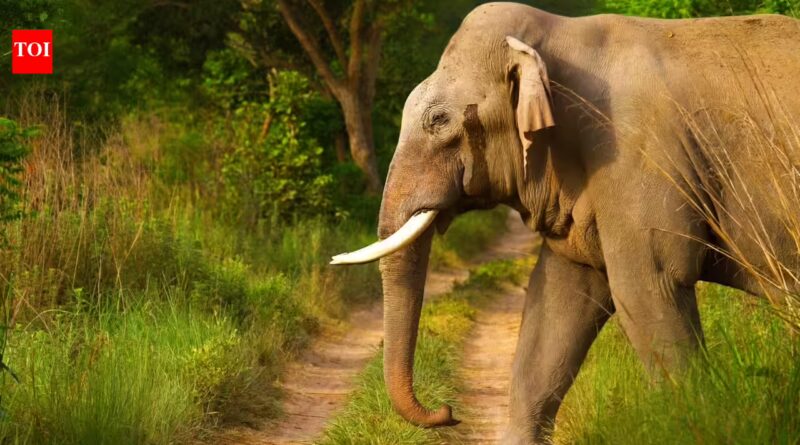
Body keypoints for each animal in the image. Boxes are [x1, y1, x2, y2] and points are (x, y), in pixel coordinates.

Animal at [332, 3, 800, 443]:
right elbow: (556, 302)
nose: (447, 412)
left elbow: (650, 287)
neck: (559, 35)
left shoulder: (639, 158)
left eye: (439, 120)